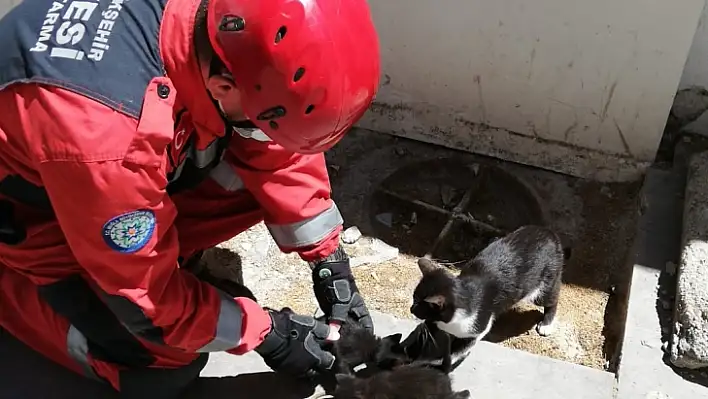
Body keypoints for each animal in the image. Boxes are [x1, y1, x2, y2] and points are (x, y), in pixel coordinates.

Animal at [412, 225, 568, 344]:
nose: (411, 309)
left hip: (546, 280)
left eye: (421, 307)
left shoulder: (478, 324)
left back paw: (546, 324)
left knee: (551, 299)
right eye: (414, 298)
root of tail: (548, 232)